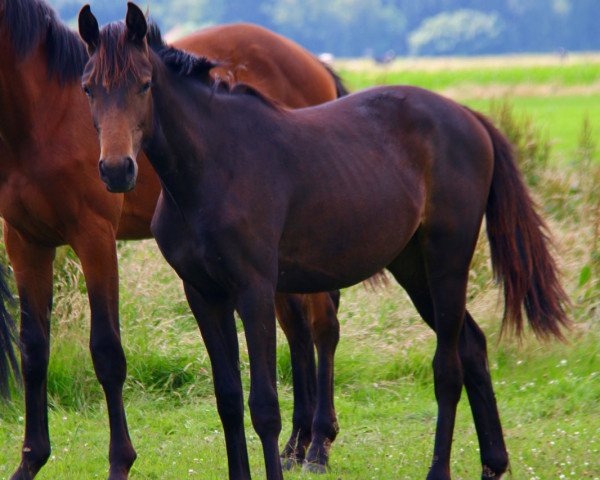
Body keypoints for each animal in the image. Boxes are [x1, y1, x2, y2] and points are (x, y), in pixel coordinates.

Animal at [79, 2, 572, 476]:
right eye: (88, 88)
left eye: (144, 84)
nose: (117, 170)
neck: (213, 167)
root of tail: (469, 117)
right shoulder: (204, 295)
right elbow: (229, 401)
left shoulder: (254, 291)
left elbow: (264, 407)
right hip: (413, 268)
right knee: (472, 346)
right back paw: (493, 463)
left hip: (447, 261)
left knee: (448, 368)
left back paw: (440, 470)